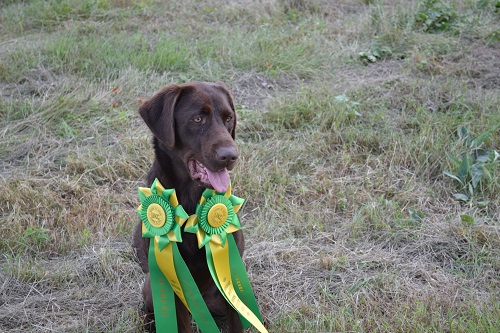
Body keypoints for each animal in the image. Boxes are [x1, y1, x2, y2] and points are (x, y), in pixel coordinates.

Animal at [132, 81, 243, 330]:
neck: (193, 204)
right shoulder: (172, 283)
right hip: (151, 286)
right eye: (197, 119)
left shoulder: (230, 273)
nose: (231, 156)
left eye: (229, 118)